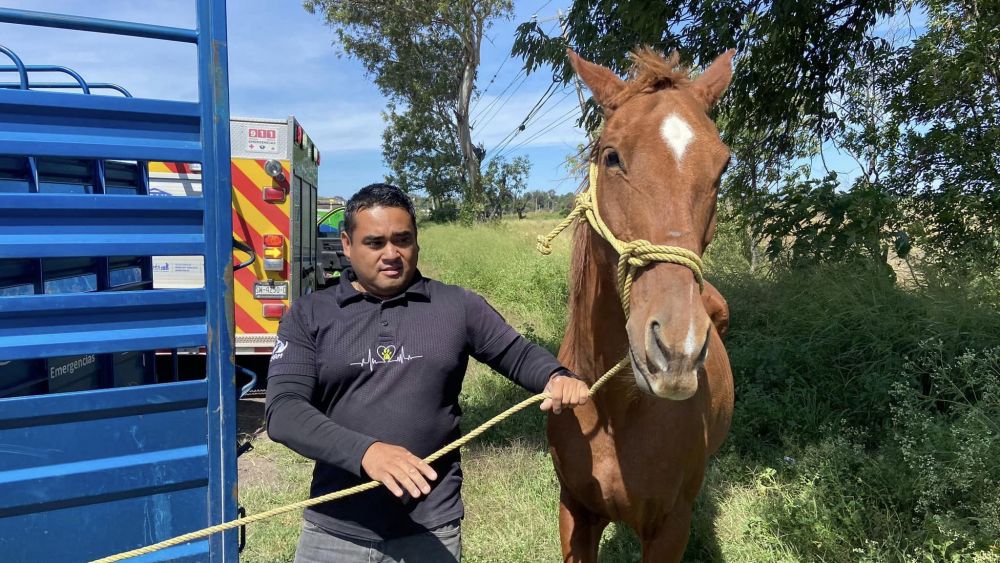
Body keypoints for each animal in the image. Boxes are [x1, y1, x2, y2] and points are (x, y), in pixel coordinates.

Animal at [548, 49, 736, 563]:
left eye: (722, 168)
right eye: (611, 156)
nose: (676, 350)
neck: (614, 411)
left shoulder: (669, 529)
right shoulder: (574, 513)